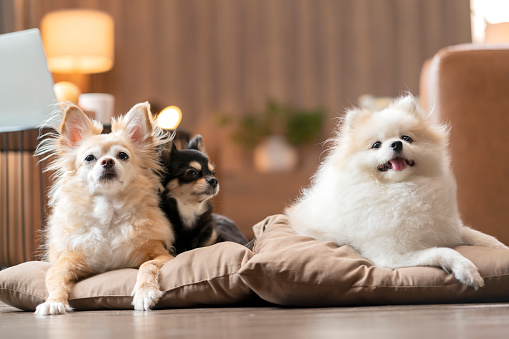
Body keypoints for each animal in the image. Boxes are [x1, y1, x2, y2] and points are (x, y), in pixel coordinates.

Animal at [288, 95, 506, 290]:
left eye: (406, 138)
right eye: (376, 145)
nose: (396, 144)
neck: (404, 189)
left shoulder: (447, 227)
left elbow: (479, 235)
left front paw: (502, 248)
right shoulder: (392, 255)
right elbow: (443, 251)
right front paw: (467, 270)